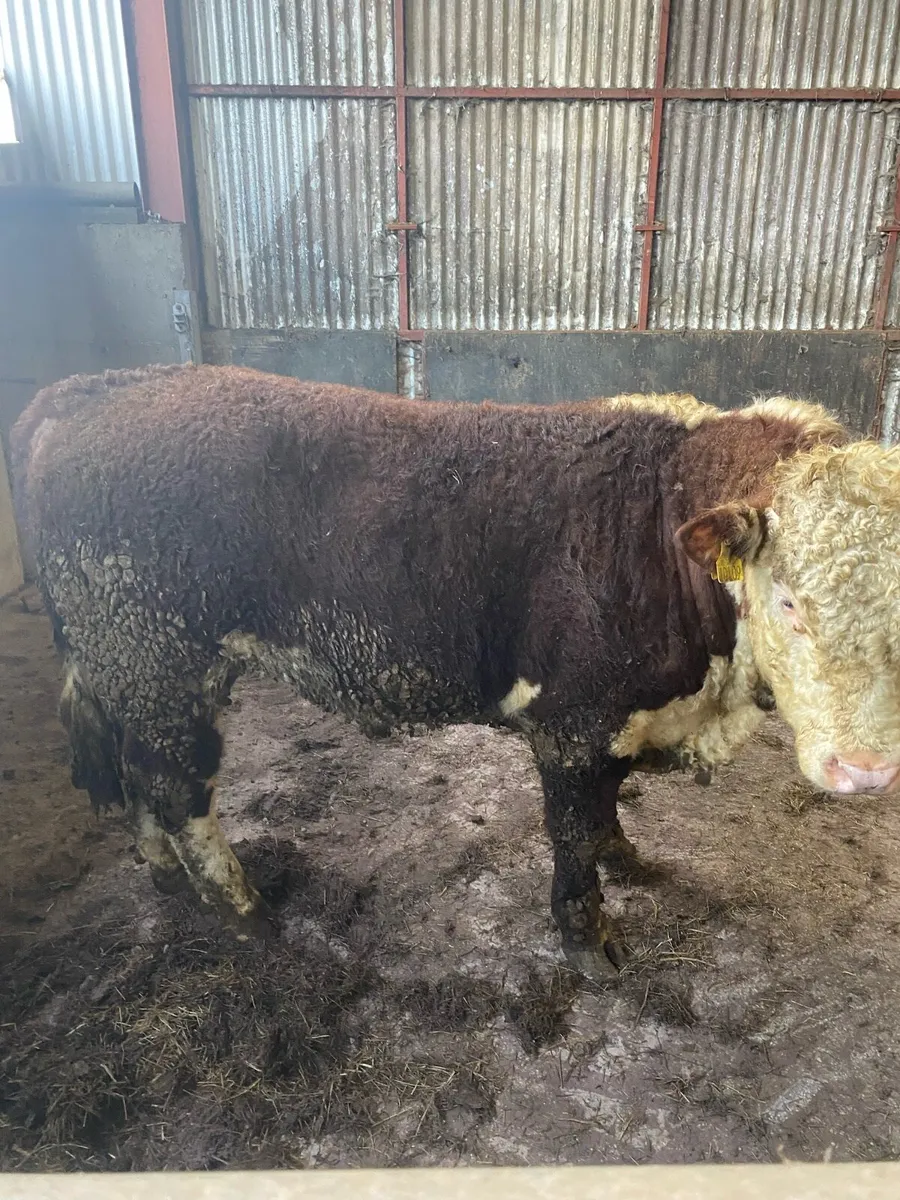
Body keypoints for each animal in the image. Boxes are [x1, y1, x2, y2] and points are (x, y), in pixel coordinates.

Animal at [12, 364, 899, 981]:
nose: (865, 770)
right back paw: (245, 912)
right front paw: (589, 939)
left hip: (130, 667)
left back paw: (163, 876)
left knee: (132, 771)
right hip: (161, 659)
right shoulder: (572, 721)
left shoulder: (617, 718)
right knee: (175, 785)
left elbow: (607, 809)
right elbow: (572, 831)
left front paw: (627, 857)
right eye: (788, 600)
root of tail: (94, 389)